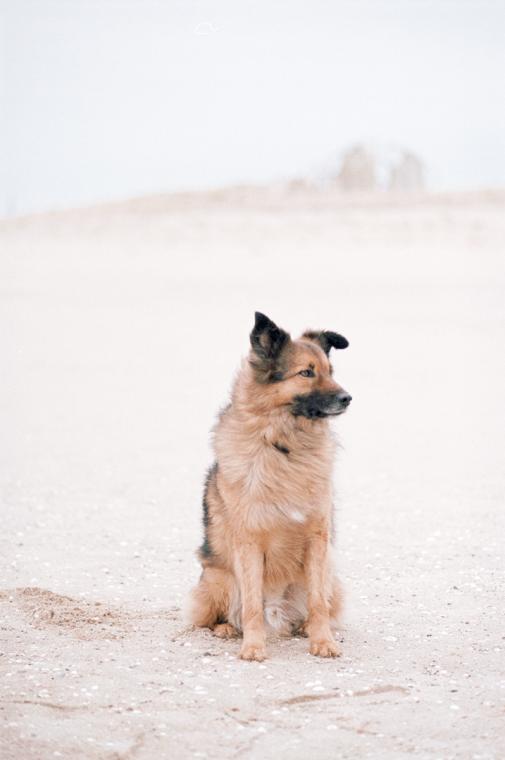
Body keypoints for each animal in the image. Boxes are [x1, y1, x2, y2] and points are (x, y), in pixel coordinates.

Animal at [186, 310, 350, 660]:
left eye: (330, 372)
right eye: (306, 373)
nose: (348, 398)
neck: (284, 446)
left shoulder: (317, 538)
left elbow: (318, 602)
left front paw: (322, 641)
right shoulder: (249, 541)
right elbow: (250, 605)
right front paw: (253, 646)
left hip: (332, 576)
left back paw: (303, 627)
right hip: (218, 579)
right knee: (215, 616)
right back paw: (227, 628)